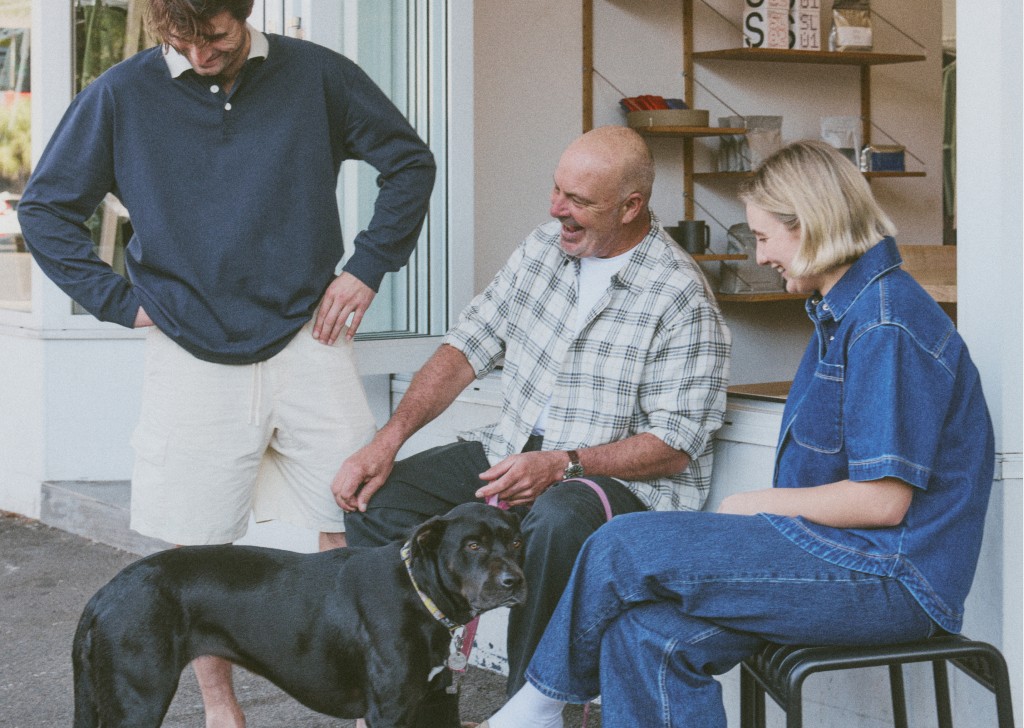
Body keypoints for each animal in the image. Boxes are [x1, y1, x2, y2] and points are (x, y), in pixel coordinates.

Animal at [70, 503, 528, 724]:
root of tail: (105, 594)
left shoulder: (436, 702)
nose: (515, 581)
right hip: (139, 699)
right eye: (472, 546)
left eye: (517, 542)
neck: (420, 594)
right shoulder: (391, 711)